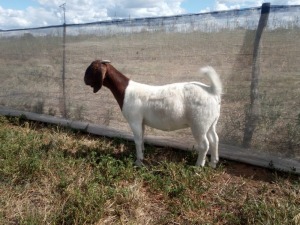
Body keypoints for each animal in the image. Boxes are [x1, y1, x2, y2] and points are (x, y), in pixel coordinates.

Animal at [84, 59, 223, 167]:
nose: (84, 80)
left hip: (199, 123)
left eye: (91, 69)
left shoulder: (134, 120)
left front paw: (138, 162)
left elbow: (137, 139)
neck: (125, 90)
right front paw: (142, 154)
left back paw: (198, 166)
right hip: (210, 122)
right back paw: (213, 163)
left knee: (204, 145)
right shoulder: (141, 121)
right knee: (214, 139)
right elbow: (142, 137)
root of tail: (212, 91)